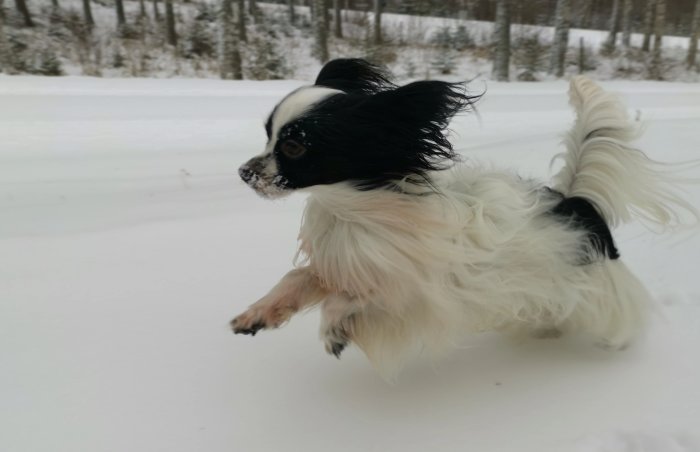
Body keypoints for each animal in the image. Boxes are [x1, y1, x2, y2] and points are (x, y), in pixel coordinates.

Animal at [231, 59, 696, 378]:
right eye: (268, 136)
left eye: (294, 148)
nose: (244, 172)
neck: (356, 208)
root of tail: (576, 203)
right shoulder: (345, 263)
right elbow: (301, 278)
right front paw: (260, 313)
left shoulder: (417, 295)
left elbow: (348, 300)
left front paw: (333, 330)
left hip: (599, 297)